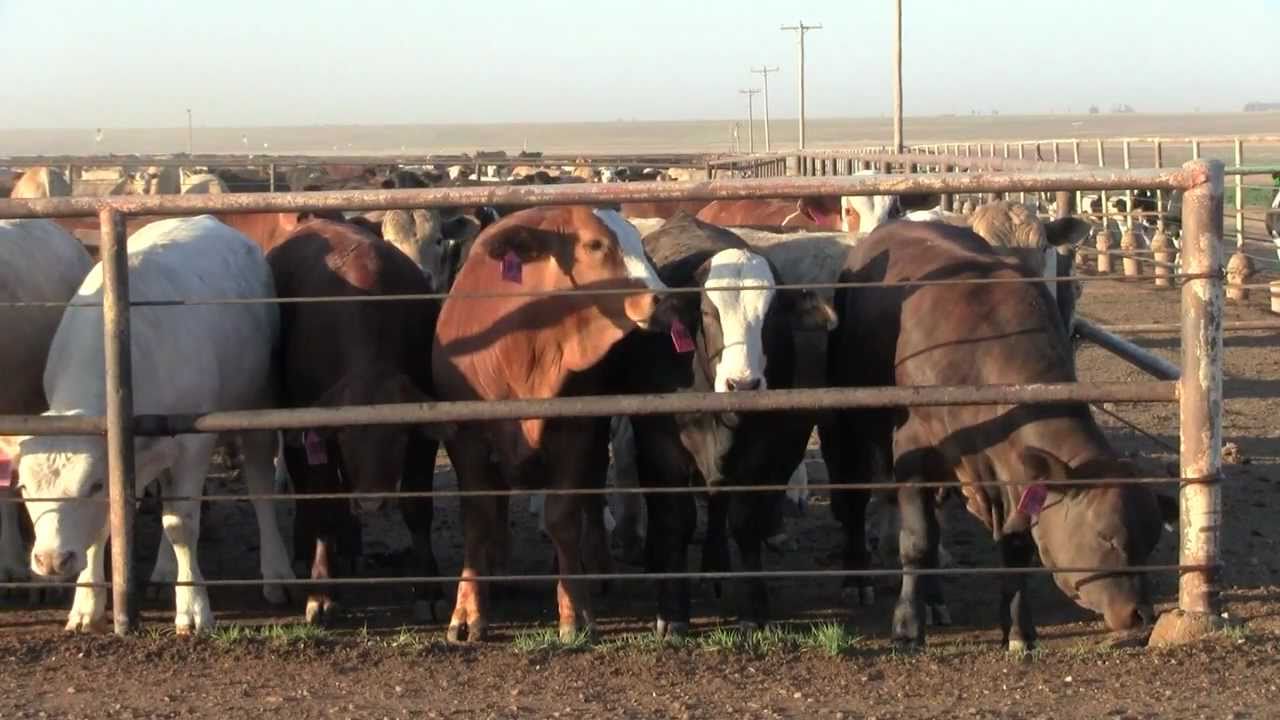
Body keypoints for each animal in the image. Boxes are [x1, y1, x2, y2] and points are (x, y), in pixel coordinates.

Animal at [17, 215, 294, 634]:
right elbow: (105, 528)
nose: (51, 560)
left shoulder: (194, 444)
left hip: (257, 401)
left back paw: (276, 571)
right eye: (23, 488)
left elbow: (181, 524)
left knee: (259, 486)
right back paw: (164, 572)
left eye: (93, 485)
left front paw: (193, 608)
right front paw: (86, 605)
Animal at [267, 218, 452, 625]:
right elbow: (322, 500)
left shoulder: (423, 439)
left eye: (397, 437)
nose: (370, 503)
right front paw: (322, 590)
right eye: (345, 435)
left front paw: (429, 589)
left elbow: (418, 508)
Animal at [431, 205, 665, 643]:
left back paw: (596, 567)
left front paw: (575, 611)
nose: (664, 298)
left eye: (639, 243)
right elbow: (479, 518)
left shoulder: (576, 435)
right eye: (595, 244)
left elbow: (563, 518)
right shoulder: (465, 440)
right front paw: (468, 611)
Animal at [606, 213, 836, 636]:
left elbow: (745, 521)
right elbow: (676, 521)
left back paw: (715, 565)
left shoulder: (762, 450)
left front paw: (753, 608)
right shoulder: (663, 449)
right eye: (709, 313)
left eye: (771, 316)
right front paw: (673, 612)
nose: (742, 384)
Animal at [821, 220, 1176, 650]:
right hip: (850, 419)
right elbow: (917, 540)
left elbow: (1015, 549)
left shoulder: (1014, 477)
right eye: (1107, 536)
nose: (1141, 614)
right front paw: (907, 626)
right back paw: (858, 578)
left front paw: (1019, 629)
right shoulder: (913, 448)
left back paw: (935, 601)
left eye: (1152, 541)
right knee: (855, 500)